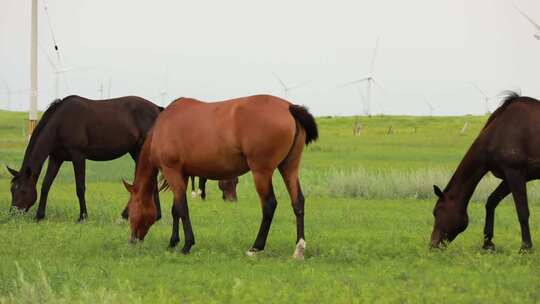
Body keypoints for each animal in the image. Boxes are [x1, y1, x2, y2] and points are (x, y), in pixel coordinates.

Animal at [7, 95, 162, 221]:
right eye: (12, 190)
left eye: (23, 190)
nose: (13, 213)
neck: (60, 123)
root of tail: (157, 109)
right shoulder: (56, 158)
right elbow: (46, 185)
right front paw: (39, 215)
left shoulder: (78, 156)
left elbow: (80, 187)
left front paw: (83, 216)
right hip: (136, 151)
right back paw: (151, 215)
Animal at [122, 95, 316, 258]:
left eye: (131, 209)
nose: (132, 240)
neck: (162, 128)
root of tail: (288, 107)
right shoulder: (183, 175)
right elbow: (176, 209)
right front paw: (172, 243)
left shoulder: (172, 171)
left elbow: (182, 208)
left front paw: (186, 245)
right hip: (289, 167)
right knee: (298, 202)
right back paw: (299, 248)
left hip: (262, 171)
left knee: (269, 204)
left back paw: (255, 247)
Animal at [430, 92, 540, 252]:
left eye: (437, 211)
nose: (432, 245)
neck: (498, 131)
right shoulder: (511, 177)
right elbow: (491, 202)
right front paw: (488, 243)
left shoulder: (515, 173)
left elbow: (522, 212)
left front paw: (525, 248)